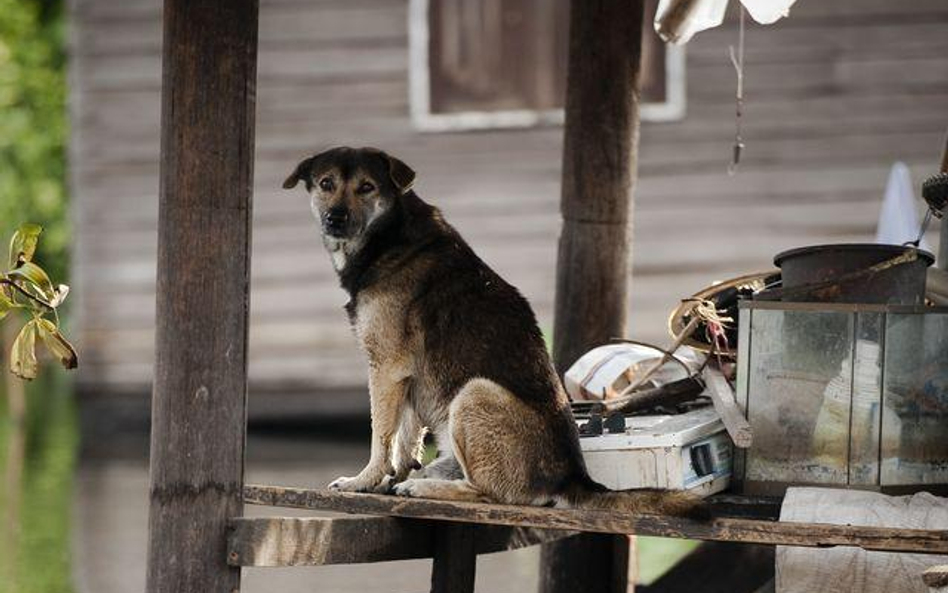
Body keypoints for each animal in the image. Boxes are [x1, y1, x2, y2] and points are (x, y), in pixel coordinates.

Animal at [282, 145, 696, 512]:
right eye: (326, 183)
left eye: (366, 187)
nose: (335, 218)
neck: (389, 235)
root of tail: (572, 479)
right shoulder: (406, 375)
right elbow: (405, 437)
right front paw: (390, 477)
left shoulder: (386, 367)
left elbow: (380, 434)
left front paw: (364, 480)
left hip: (474, 393)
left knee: (489, 493)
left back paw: (425, 486)